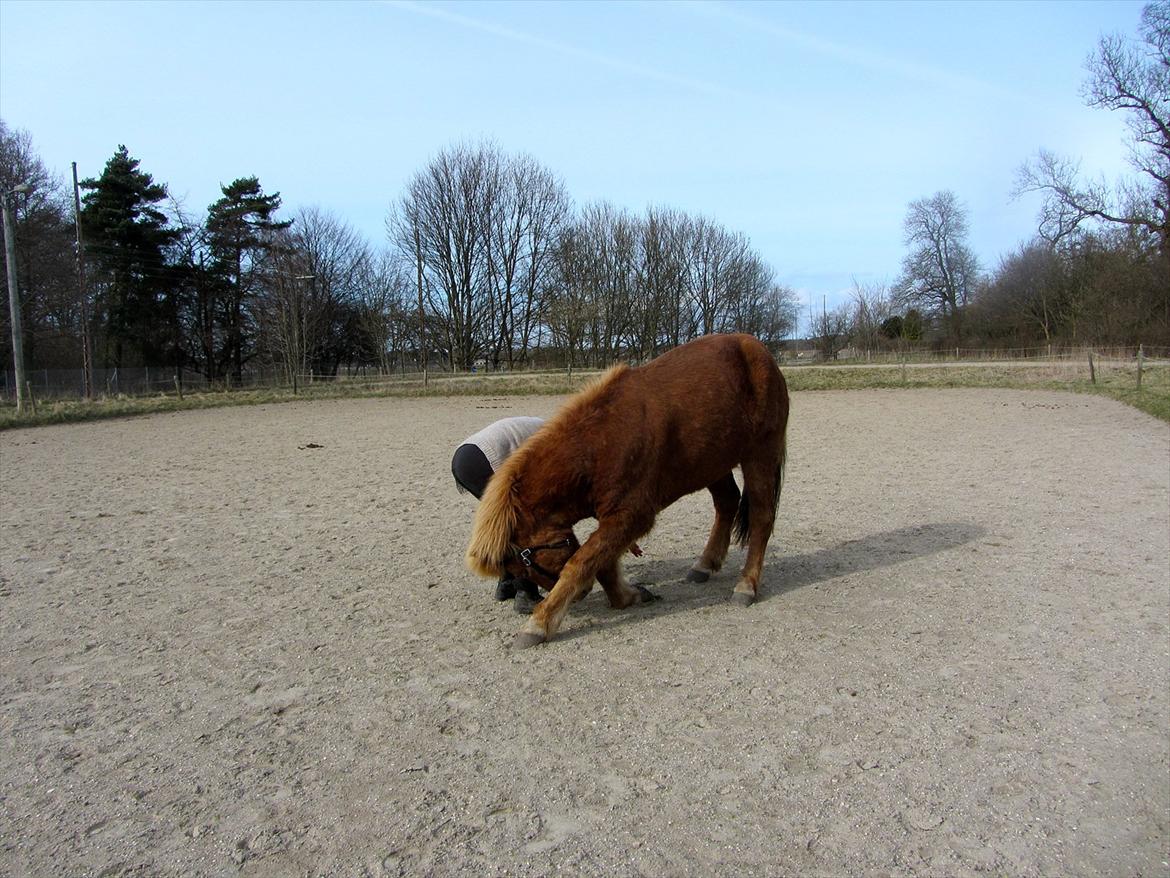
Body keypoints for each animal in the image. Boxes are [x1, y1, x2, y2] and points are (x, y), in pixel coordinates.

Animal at [465, 332, 786, 650]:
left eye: (526, 564)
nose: (582, 595)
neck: (599, 446)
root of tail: (757, 349)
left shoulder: (633, 515)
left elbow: (583, 560)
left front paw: (539, 623)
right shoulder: (614, 518)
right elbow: (601, 560)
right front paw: (629, 596)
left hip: (760, 453)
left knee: (761, 517)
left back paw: (746, 586)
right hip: (713, 463)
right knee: (727, 504)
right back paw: (704, 565)